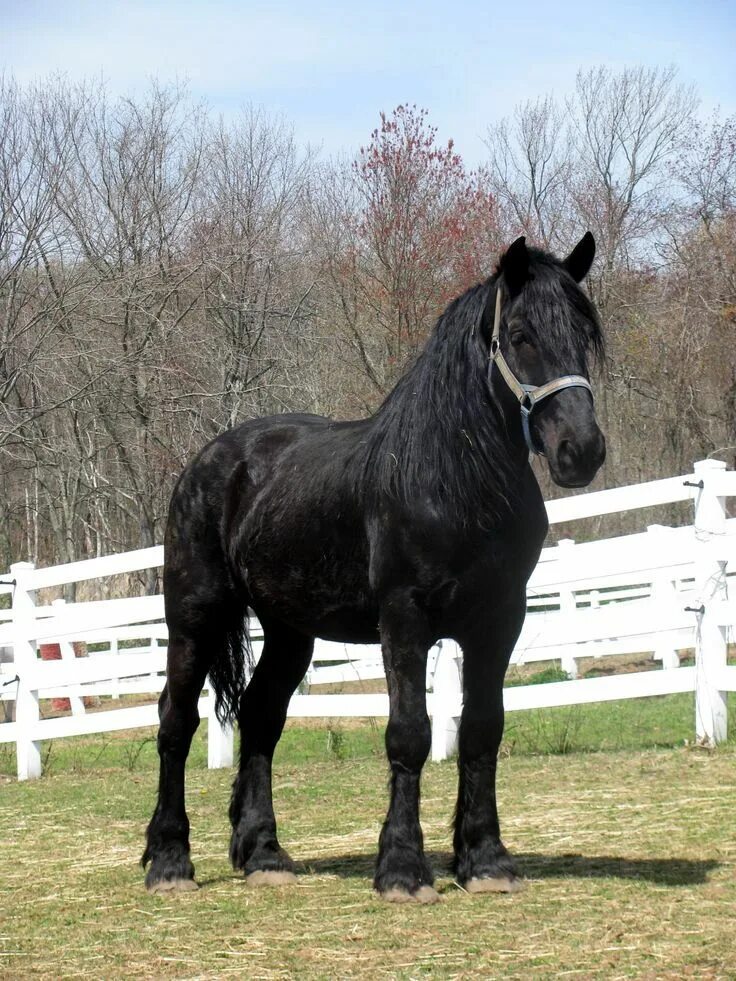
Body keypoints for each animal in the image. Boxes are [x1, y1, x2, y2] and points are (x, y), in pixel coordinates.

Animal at [142, 234, 604, 900]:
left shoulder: (499, 622)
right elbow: (409, 732)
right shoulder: (404, 619)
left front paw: (485, 859)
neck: (452, 481)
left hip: (290, 631)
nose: (582, 451)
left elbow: (482, 728)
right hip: (194, 620)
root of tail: (209, 460)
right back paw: (169, 861)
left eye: (585, 334)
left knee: (260, 717)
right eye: (520, 335)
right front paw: (404, 869)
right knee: (175, 723)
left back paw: (264, 854)